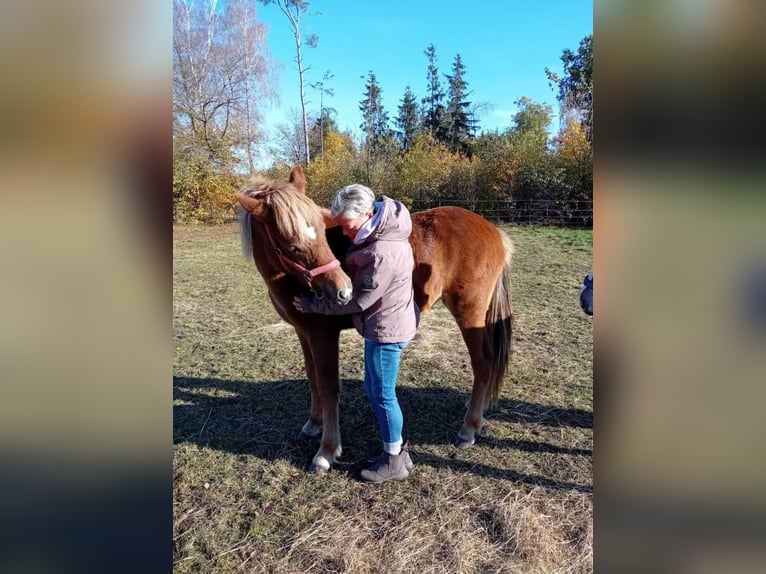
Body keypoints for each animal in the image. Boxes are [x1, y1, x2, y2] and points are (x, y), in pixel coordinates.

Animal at [237, 165, 512, 472]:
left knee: (483, 363)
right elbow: (312, 378)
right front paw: (313, 424)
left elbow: (328, 386)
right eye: (292, 246)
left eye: (321, 231)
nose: (343, 291)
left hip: (470, 313)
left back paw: (468, 429)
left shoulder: (323, 335)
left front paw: (326, 451)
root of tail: (493, 231)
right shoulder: (303, 333)